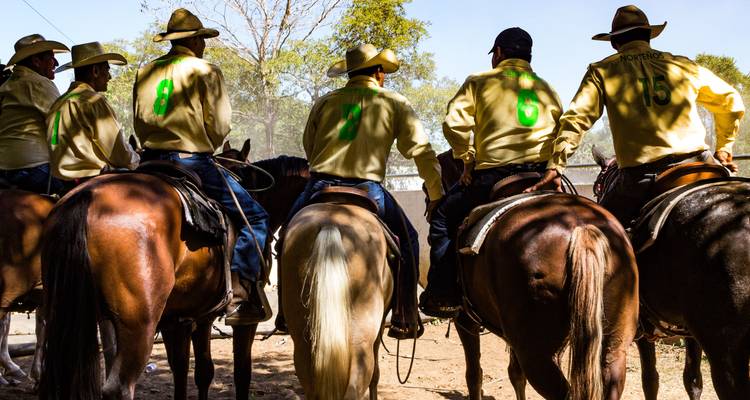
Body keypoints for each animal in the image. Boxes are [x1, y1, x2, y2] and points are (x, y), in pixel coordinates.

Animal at [39, 148, 309, 400]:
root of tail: (86, 197)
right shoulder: (245, 319)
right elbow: (242, 373)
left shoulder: (187, 317)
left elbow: (194, 371)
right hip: (138, 325)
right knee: (119, 387)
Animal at [432, 152, 639, 399]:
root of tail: (582, 229)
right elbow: (515, 375)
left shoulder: (465, 321)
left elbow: (474, 375)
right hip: (614, 346)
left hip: (535, 354)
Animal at [592, 148, 750, 399]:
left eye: (598, 187)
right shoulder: (690, 332)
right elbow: (692, 380)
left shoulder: (642, 330)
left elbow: (650, 379)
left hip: (726, 353)